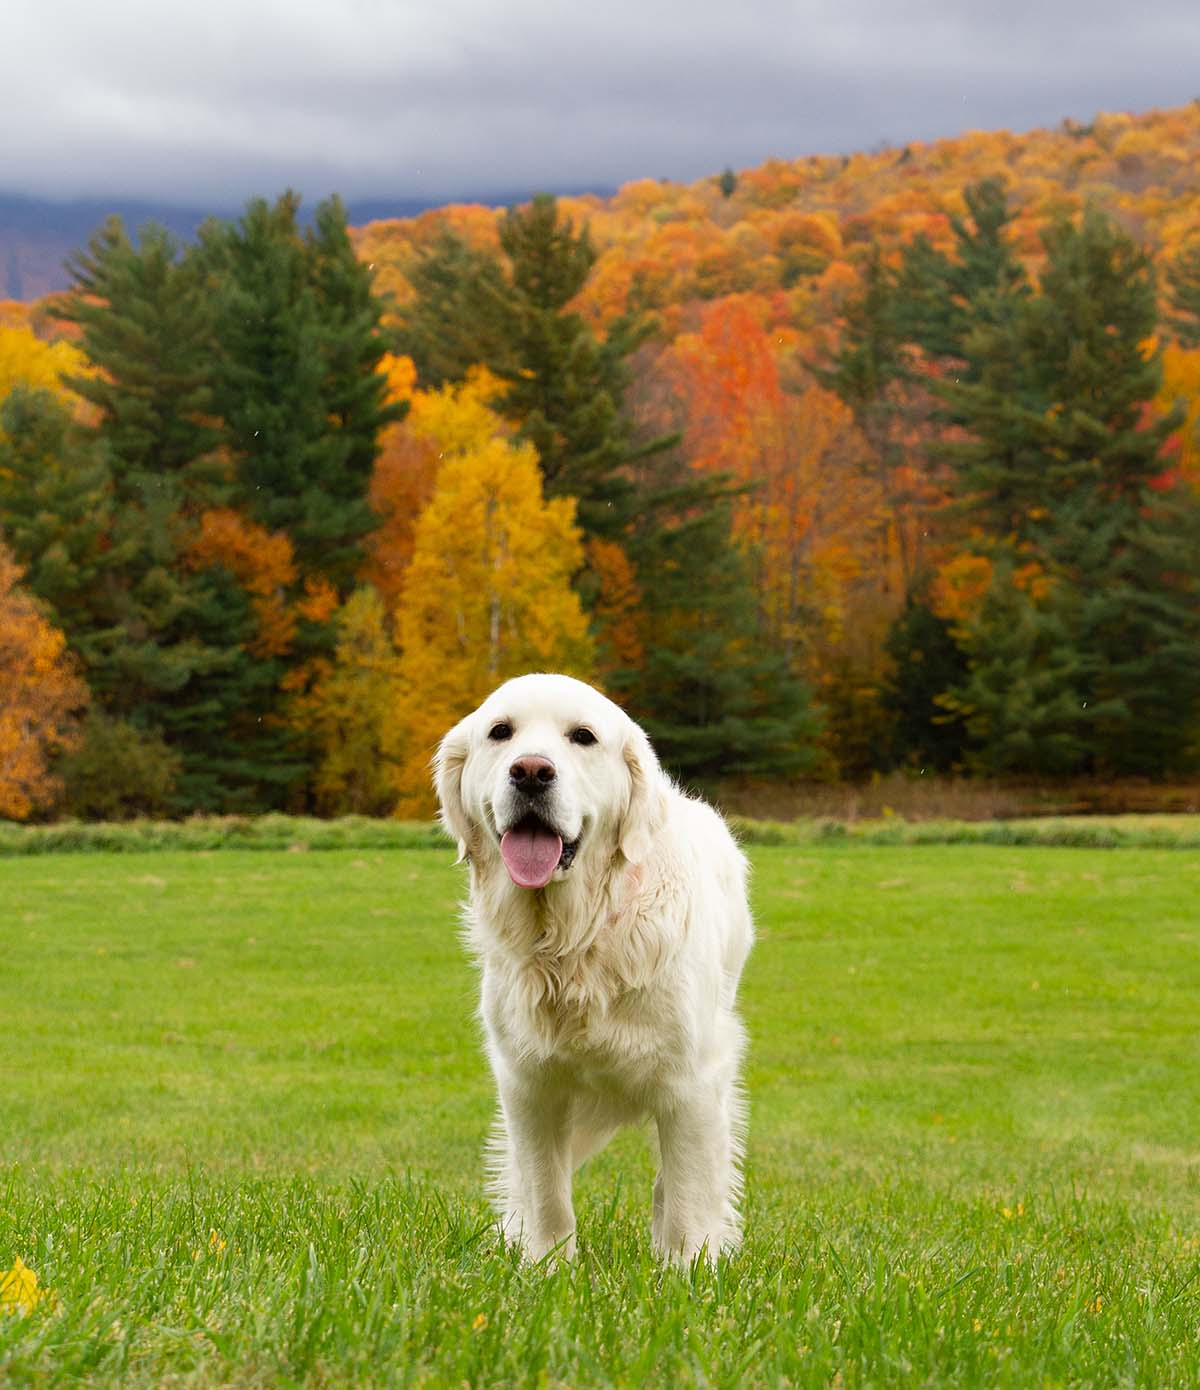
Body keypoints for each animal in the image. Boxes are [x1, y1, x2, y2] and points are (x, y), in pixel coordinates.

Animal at [431, 667, 750, 1267]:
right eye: (500, 731)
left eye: (583, 736)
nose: (531, 771)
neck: (577, 941)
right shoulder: (529, 1084)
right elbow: (546, 1193)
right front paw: (546, 1268)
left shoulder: (692, 1082)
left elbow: (688, 1197)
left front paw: (686, 1272)